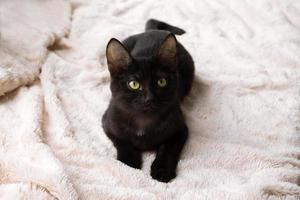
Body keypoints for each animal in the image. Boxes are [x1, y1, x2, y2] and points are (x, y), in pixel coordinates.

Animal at [101, 19, 195, 183]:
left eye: (161, 82)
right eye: (134, 84)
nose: (149, 97)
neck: (143, 121)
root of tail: (152, 31)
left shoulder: (180, 129)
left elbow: (168, 148)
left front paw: (162, 170)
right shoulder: (107, 122)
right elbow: (123, 142)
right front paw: (129, 162)